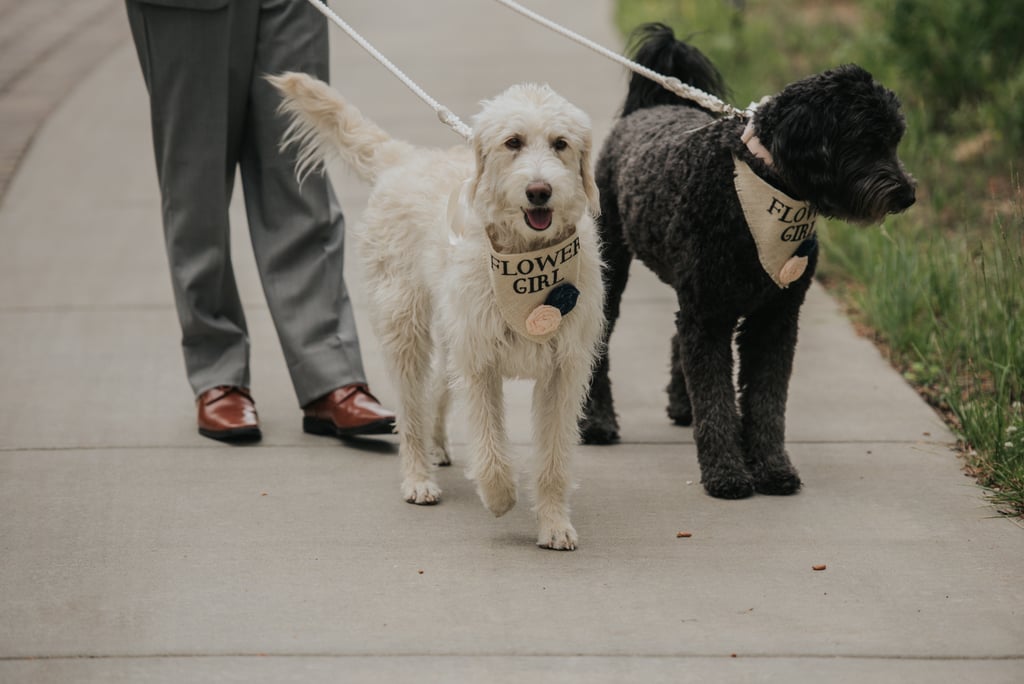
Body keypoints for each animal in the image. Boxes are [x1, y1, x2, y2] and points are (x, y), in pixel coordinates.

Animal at [272, 72, 602, 548]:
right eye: (513, 142)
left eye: (560, 143)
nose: (540, 191)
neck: (526, 254)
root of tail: (406, 158)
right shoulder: (480, 360)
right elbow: (488, 442)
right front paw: (499, 495)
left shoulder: (563, 368)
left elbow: (554, 457)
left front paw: (555, 523)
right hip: (405, 326)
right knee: (410, 409)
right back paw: (418, 476)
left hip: (449, 338)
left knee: (436, 393)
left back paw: (437, 444)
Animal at [581, 24, 917, 499]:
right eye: (866, 141)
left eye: (894, 140)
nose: (908, 195)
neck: (763, 179)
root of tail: (650, 109)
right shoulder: (710, 316)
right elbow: (718, 399)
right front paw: (726, 473)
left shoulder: (773, 317)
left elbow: (766, 402)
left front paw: (773, 468)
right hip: (616, 265)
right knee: (603, 341)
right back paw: (598, 422)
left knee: (677, 335)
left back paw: (682, 406)